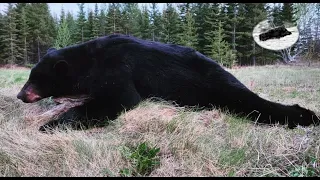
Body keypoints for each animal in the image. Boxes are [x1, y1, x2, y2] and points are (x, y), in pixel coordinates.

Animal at [16, 34, 320, 131]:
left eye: (35, 79)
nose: (20, 95)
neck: (88, 62)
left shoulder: (117, 70)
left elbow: (119, 99)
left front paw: (51, 125)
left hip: (210, 85)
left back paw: (305, 115)